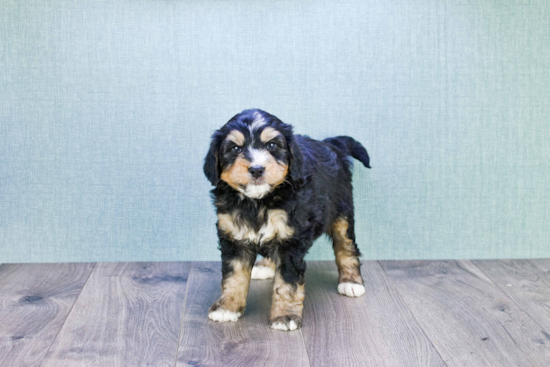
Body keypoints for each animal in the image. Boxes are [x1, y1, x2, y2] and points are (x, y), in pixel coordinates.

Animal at [205, 109, 374, 334]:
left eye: (272, 146)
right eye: (235, 148)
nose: (257, 169)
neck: (258, 202)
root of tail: (331, 145)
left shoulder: (291, 242)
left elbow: (287, 282)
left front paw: (285, 316)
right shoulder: (233, 237)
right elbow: (234, 276)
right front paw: (227, 307)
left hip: (342, 213)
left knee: (346, 247)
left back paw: (351, 282)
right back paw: (265, 266)